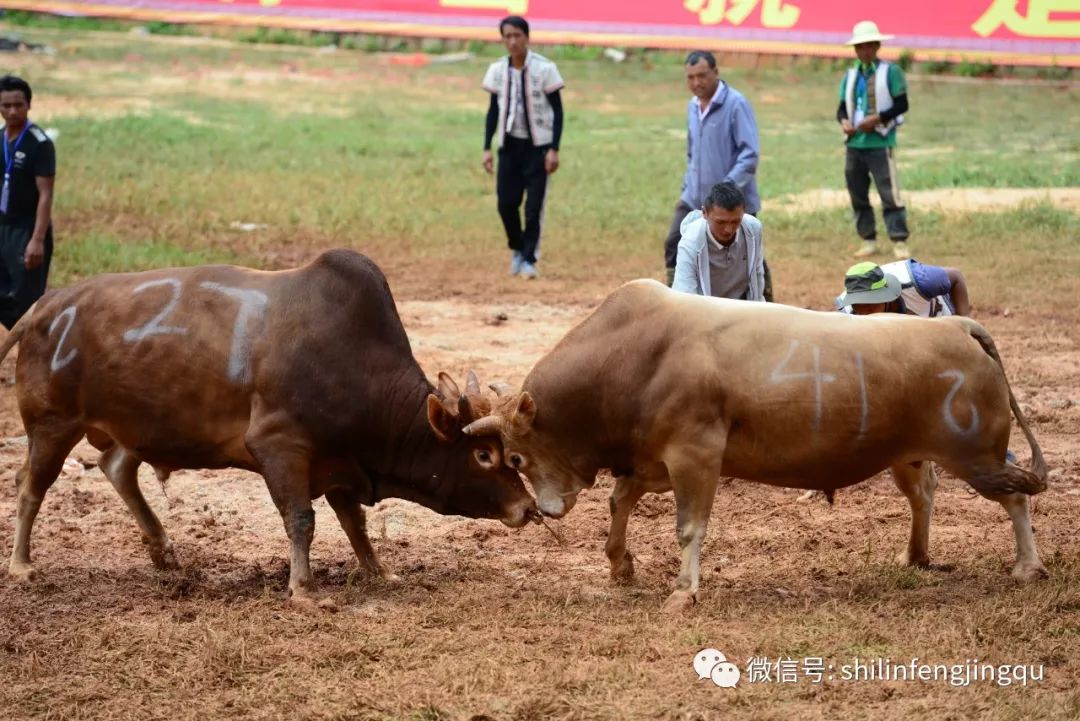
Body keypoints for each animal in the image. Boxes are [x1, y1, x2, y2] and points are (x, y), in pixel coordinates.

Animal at [0, 248, 537, 595]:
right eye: (483, 455)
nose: (528, 508)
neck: (354, 361)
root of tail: (46, 306)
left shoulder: (339, 463)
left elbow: (355, 523)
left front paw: (379, 571)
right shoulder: (280, 448)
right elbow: (301, 519)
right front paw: (303, 588)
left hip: (127, 427)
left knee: (116, 467)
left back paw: (162, 550)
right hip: (53, 425)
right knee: (32, 485)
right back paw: (22, 565)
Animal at [464, 278, 1045, 613]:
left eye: (515, 456)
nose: (545, 510)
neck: (631, 354)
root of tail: (957, 326)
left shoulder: (695, 457)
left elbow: (689, 527)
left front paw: (684, 591)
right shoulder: (654, 462)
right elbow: (620, 501)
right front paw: (619, 564)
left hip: (978, 457)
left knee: (1016, 495)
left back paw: (1027, 567)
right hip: (910, 456)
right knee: (923, 497)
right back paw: (917, 555)